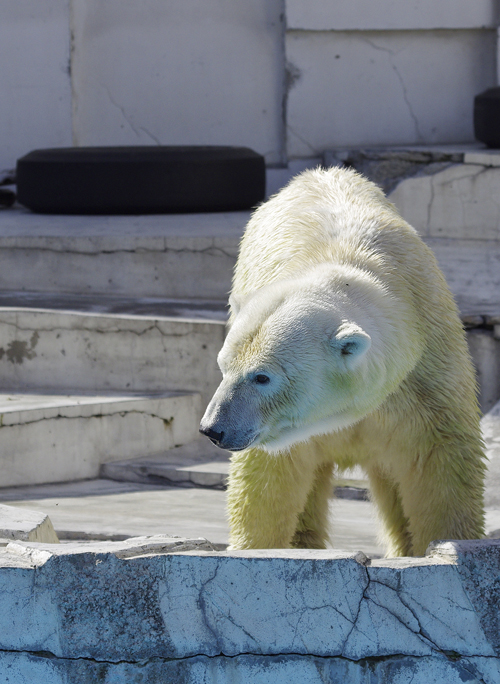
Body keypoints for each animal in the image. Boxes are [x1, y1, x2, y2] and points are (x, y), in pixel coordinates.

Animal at [199, 166, 484, 556]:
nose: (213, 429)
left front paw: (446, 543)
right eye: (224, 367)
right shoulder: (285, 431)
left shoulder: (423, 379)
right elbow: (270, 478)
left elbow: (440, 462)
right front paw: (257, 549)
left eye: (262, 377)